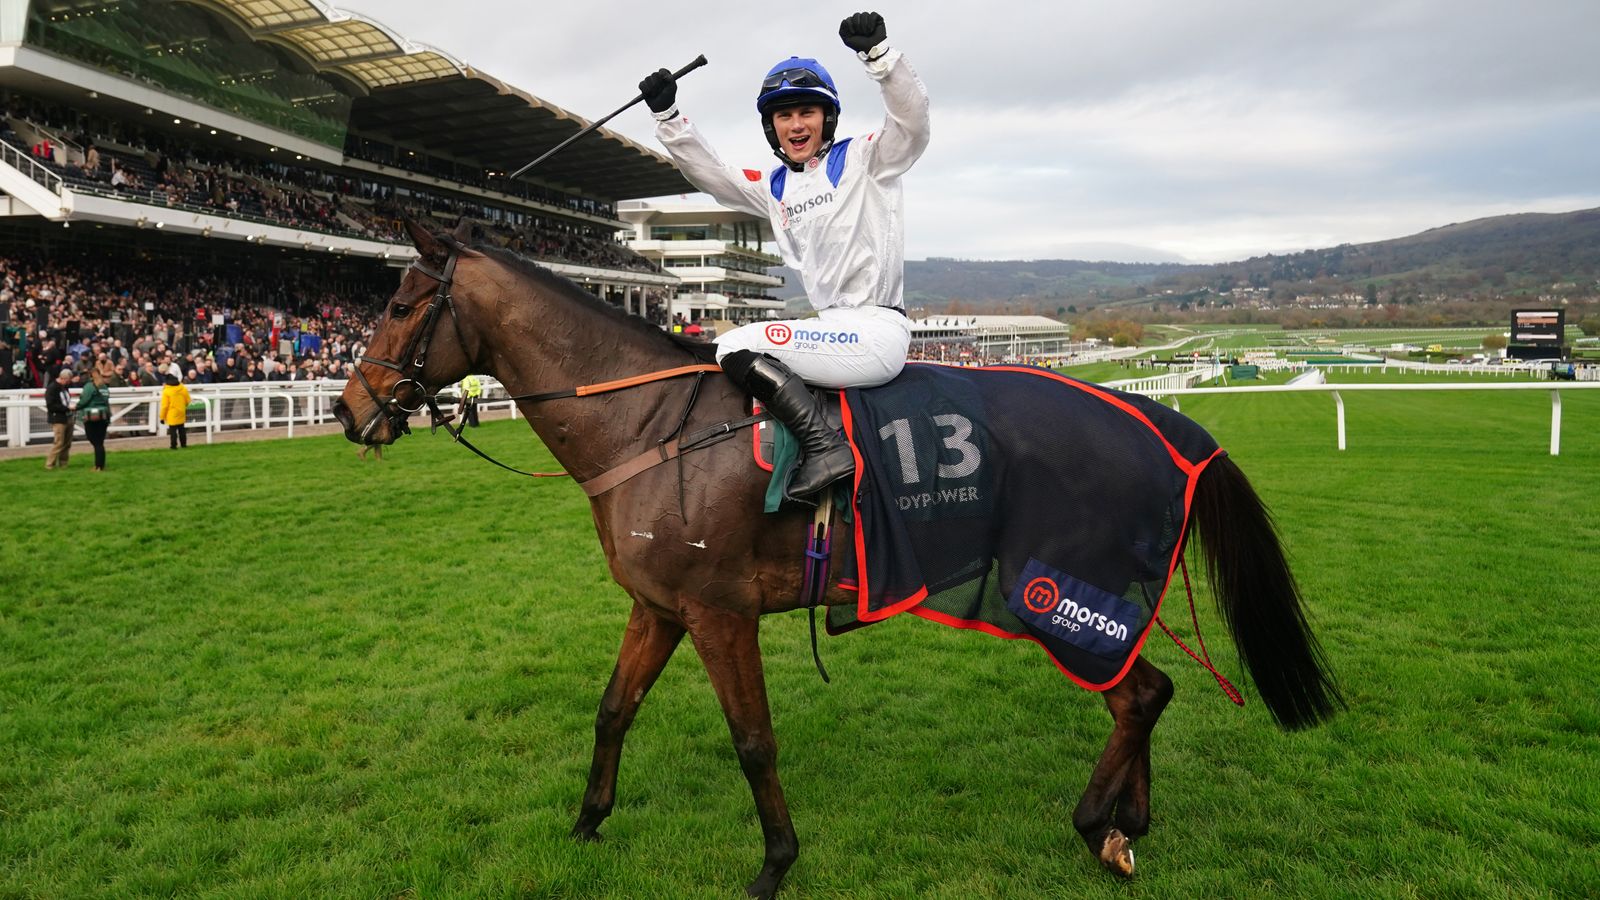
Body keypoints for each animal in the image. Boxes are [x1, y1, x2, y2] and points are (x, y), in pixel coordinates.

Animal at [334, 219, 1337, 896]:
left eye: (398, 304)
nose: (348, 411)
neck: (651, 427)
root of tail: (1167, 423)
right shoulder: (657, 605)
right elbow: (613, 710)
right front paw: (586, 825)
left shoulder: (719, 613)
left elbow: (752, 741)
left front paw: (775, 864)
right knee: (1147, 690)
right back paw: (1129, 822)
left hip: (1053, 595)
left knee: (1138, 693)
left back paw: (1098, 824)